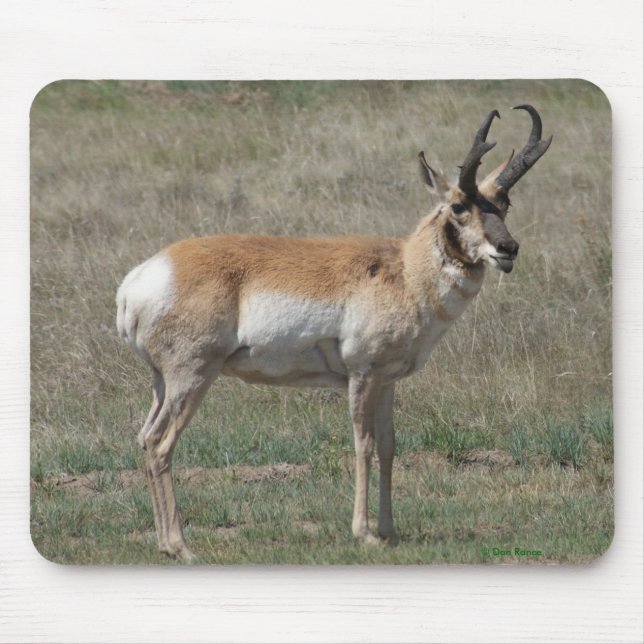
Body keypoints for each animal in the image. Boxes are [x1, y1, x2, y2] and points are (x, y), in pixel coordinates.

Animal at [116, 105, 551, 561]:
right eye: (458, 205)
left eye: (504, 203)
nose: (508, 249)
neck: (405, 270)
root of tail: (139, 281)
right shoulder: (363, 375)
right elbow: (364, 444)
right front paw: (363, 533)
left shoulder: (388, 381)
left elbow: (390, 446)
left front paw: (390, 531)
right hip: (192, 378)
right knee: (161, 443)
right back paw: (181, 546)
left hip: (163, 384)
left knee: (145, 439)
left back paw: (165, 543)